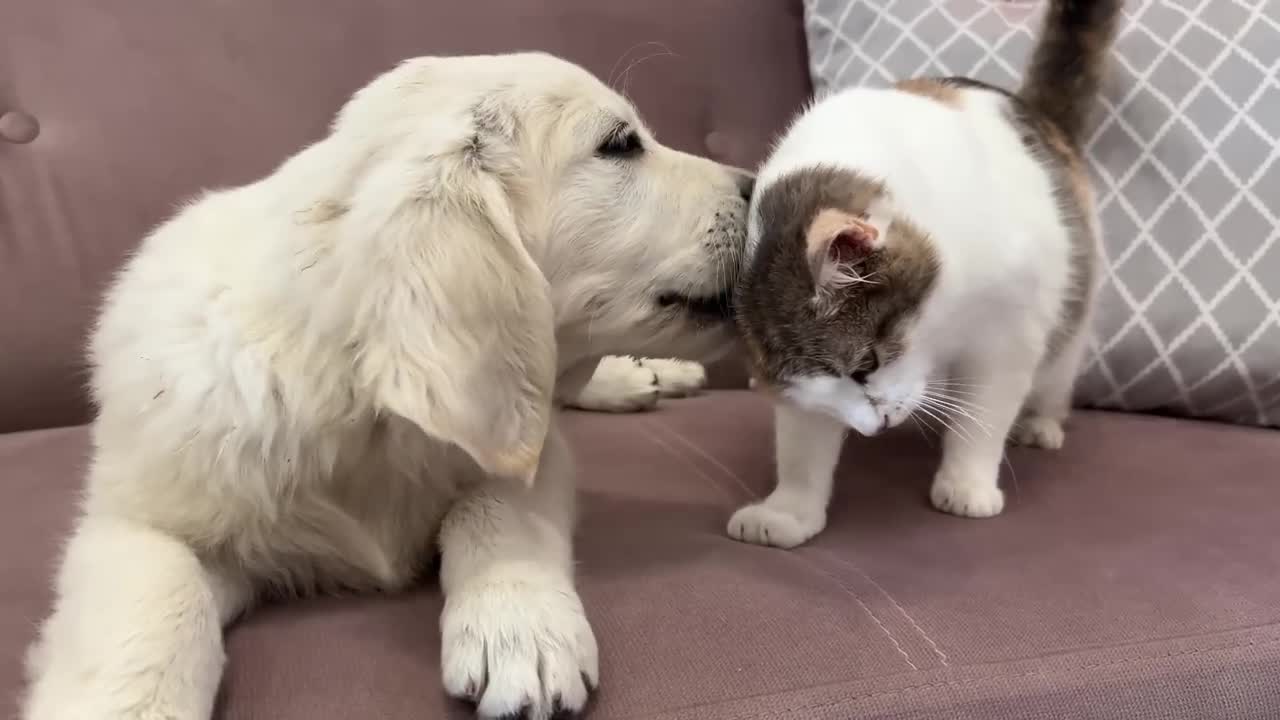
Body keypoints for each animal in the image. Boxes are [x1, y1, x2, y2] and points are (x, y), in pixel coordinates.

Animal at [22, 53, 747, 717]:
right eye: (619, 144)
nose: (755, 185)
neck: (356, 403)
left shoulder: (528, 444)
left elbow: (494, 505)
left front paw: (519, 626)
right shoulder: (135, 519)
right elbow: (161, 600)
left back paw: (648, 375)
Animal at [732, 0, 1121, 543]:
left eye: (866, 366)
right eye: (827, 391)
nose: (876, 426)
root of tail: (1040, 116)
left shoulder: (1009, 334)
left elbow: (984, 415)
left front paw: (967, 484)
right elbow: (801, 446)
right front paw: (787, 512)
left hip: (1071, 306)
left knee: (1058, 369)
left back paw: (1041, 423)